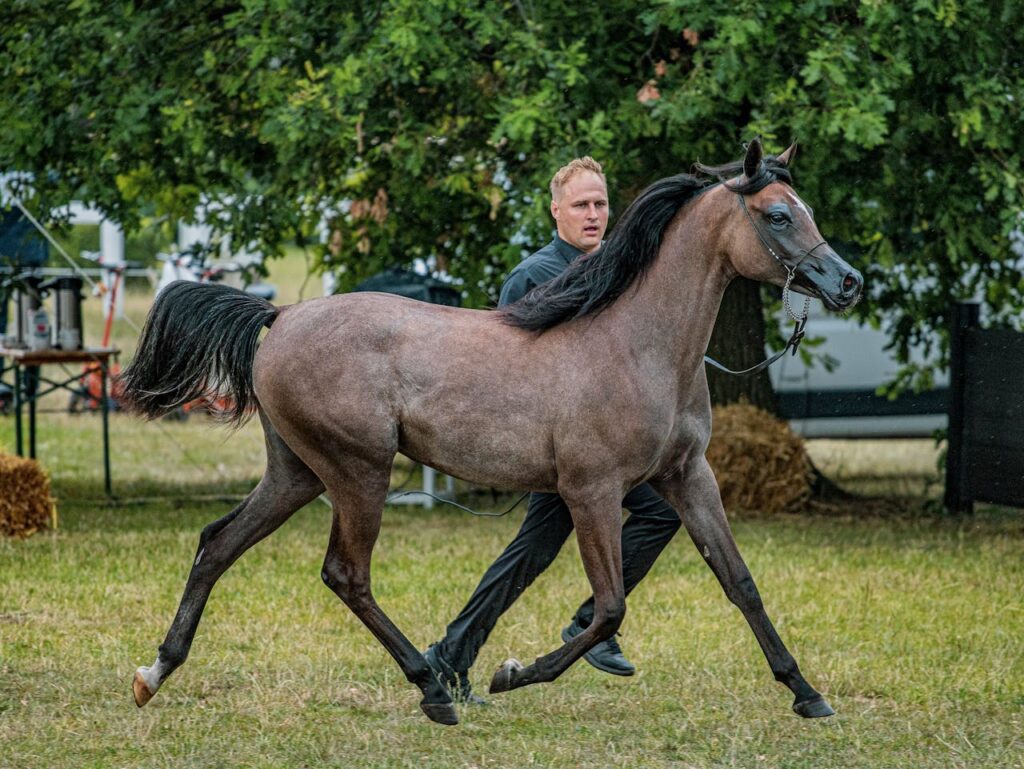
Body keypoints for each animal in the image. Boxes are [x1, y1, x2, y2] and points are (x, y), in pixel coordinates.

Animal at [119, 138, 862, 726]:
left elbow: (739, 581)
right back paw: (432, 688)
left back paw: (154, 673)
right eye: (777, 214)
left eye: (806, 209)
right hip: (359, 471)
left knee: (217, 543)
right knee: (346, 574)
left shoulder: (687, 476)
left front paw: (806, 693)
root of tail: (281, 315)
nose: (848, 282)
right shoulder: (591, 490)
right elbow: (610, 607)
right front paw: (513, 673)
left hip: (296, 472)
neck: (636, 345)